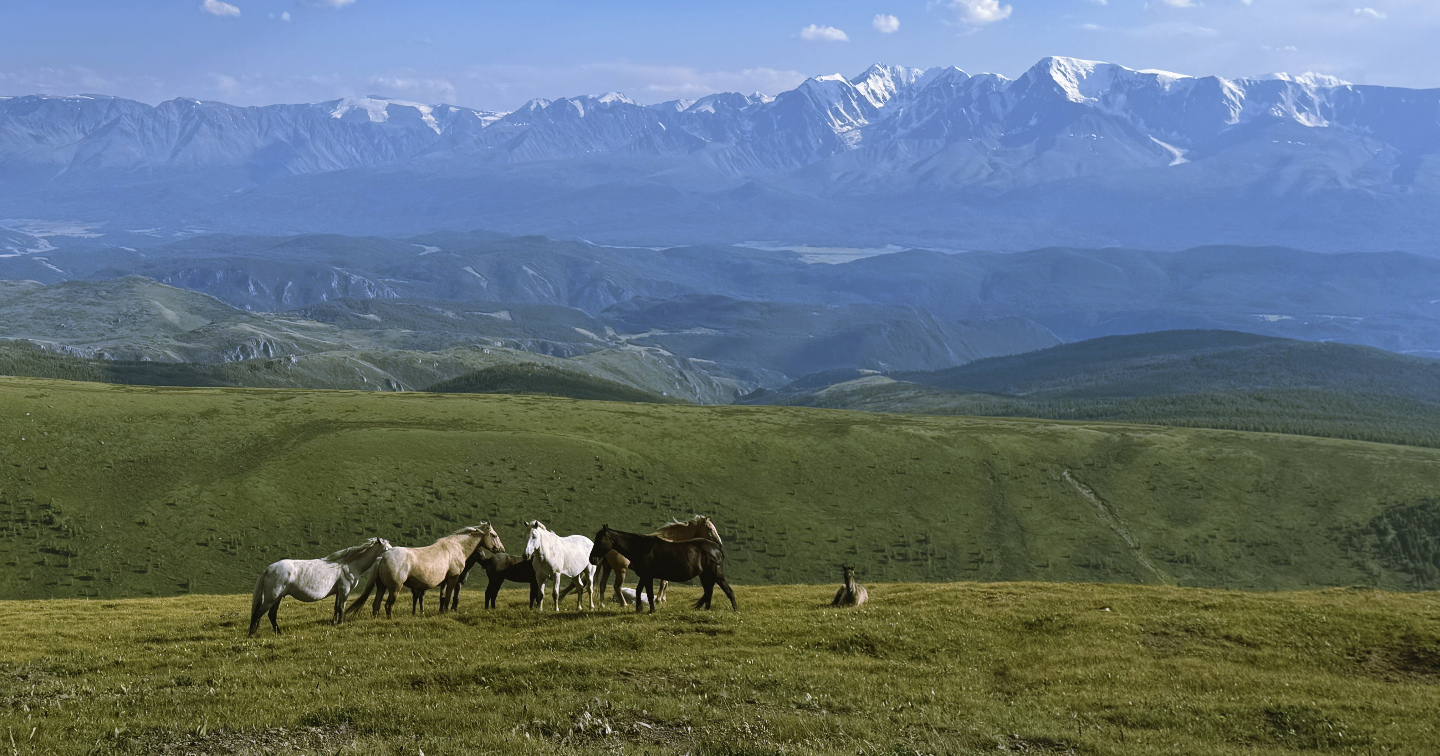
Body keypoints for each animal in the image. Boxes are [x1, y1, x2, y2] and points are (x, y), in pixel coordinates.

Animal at [249, 537, 391, 636]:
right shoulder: (344, 590)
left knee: (271, 615)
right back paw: (251, 634)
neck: (348, 565)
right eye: (386, 549)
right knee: (258, 613)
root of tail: (268, 569)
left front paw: (334, 623)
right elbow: (342, 607)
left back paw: (278, 632)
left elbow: (336, 607)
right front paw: (340, 623)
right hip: (271, 598)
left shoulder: (338, 591)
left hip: (277, 598)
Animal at [345, 524, 502, 619]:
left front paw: (441, 611)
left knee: (376, 605)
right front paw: (446, 611)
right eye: (494, 535)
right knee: (388, 605)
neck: (456, 547)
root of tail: (382, 557)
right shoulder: (453, 578)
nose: (501, 549)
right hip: (395, 588)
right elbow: (448, 596)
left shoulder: (444, 582)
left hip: (381, 587)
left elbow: (442, 597)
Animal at [588, 525, 737, 613]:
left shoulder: (648, 576)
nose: (592, 559)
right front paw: (639, 608)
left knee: (727, 590)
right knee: (709, 591)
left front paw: (652, 609)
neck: (641, 548)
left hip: (715, 574)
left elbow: (649, 593)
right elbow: (639, 591)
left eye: (600, 540)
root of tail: (717, 548)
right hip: (705, 575)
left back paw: (735, 609)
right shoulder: (644, 576)